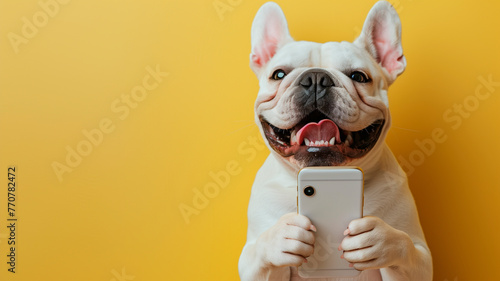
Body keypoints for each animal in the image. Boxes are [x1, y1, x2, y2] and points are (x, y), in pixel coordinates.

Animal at [239, 2, 434, 280]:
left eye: (359, 77)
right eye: (278, 74)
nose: (316, 78)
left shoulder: (420, 257)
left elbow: (404, 246)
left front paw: (379, 239)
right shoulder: (255, 261)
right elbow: (262, 252)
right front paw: (281, 237)